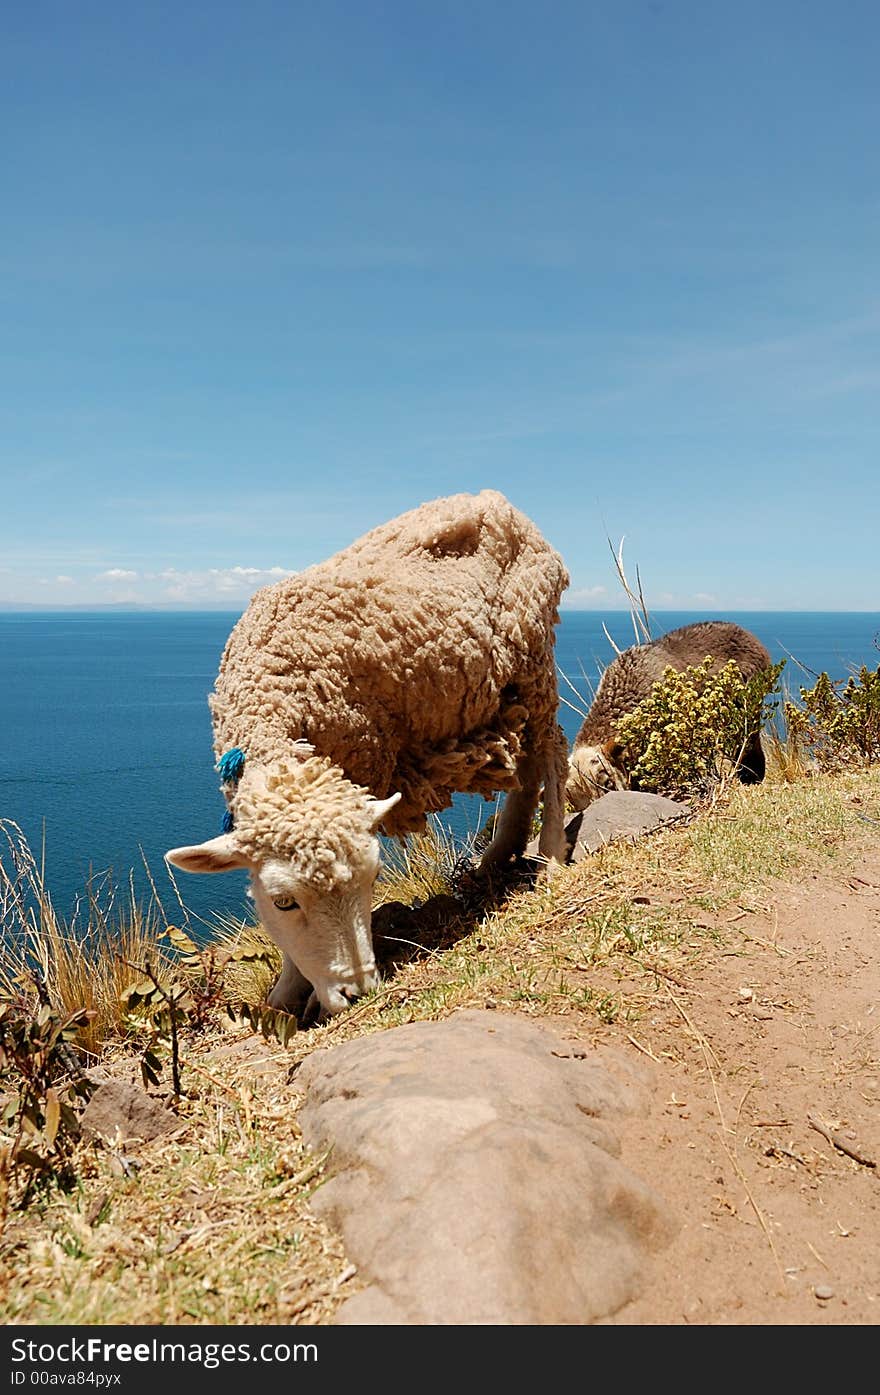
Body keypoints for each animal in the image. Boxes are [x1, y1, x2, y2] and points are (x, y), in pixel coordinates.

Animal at [165, 491, 571, 1015]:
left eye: (373, 878)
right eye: (283, 901)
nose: (356, 993)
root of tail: (494, 500)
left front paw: (301, 994)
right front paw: (287, 991)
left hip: (533, 655)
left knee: (550, 750)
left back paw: (551, 856)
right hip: (506, 685)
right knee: (525, 763)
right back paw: (499, 856)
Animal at [569, 619, 775, 809]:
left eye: (608, 783)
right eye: (576, 804)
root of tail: (745, 633)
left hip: (745, 705)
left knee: (747, 741)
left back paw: (751, 775)